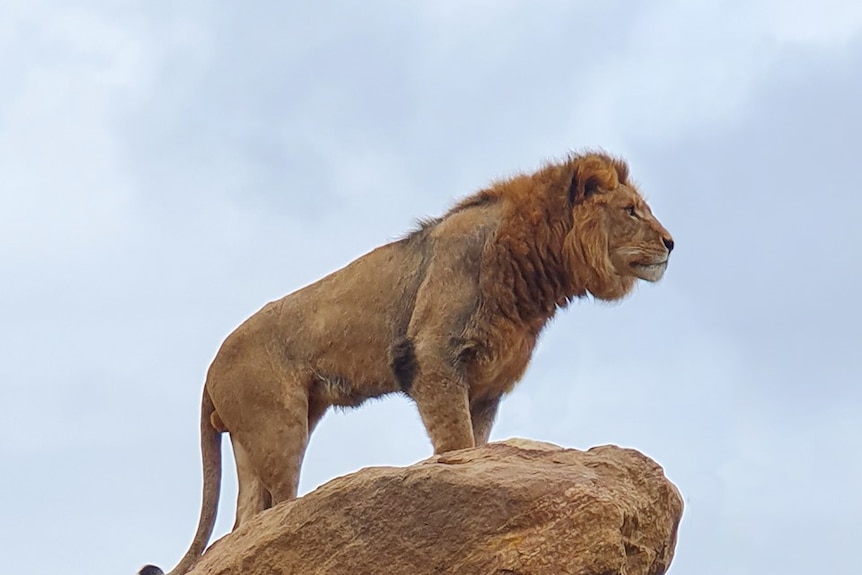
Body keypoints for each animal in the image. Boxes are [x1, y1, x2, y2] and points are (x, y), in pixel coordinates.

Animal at [140, 151, 676, 572]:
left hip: (258, 438)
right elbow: (456, 442)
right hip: (280, 425)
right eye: (631, 211)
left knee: (244, 521)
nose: (672, 243)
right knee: (277, 508)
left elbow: (476, 444)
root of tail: (209, 369)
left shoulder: (486, 387)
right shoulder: (434, 358)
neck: (535, 274)